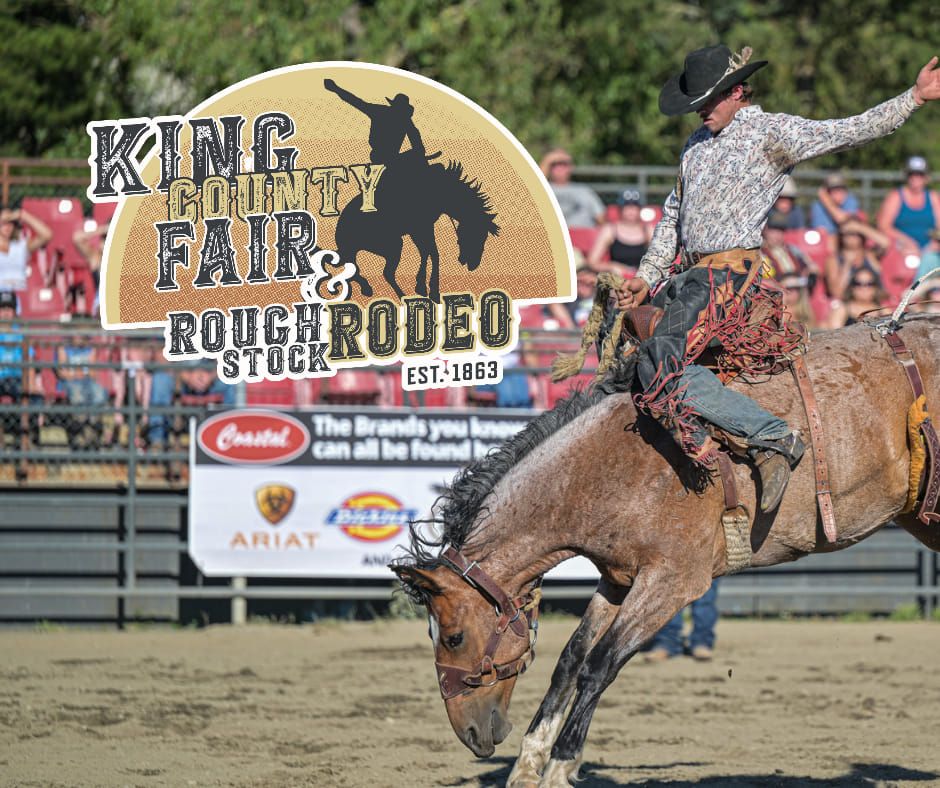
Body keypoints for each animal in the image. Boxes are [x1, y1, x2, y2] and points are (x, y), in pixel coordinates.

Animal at [336, 160, 500, 304]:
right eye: (477, 234)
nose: (474, 265)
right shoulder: (421, 227)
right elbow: (433, 253)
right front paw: (433, 291)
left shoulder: (420, 229)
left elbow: (426, 252)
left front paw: (421, 286)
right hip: (392, 245)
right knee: (385, 273)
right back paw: (400, 296)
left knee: (354, 269)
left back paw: (368, 288)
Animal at [392, 296, 940, 780]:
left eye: (455, 636)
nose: (471, 733)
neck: (606, 464)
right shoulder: (618, 579)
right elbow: (570, 660)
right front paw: (527, 767)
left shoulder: (672, 581)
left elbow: (600, 664)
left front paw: (560, 767)